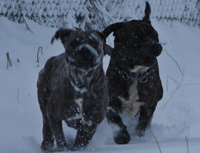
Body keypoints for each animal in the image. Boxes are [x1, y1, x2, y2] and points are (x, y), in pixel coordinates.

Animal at [103, 1, 162, 144]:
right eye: (137, 37)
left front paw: (138, 136)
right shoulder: (110, 100)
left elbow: (143, 122)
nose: (156, 45)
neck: (135, 75)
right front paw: (121, 136)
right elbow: (114, 118)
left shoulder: (150, 103)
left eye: (155, 35)